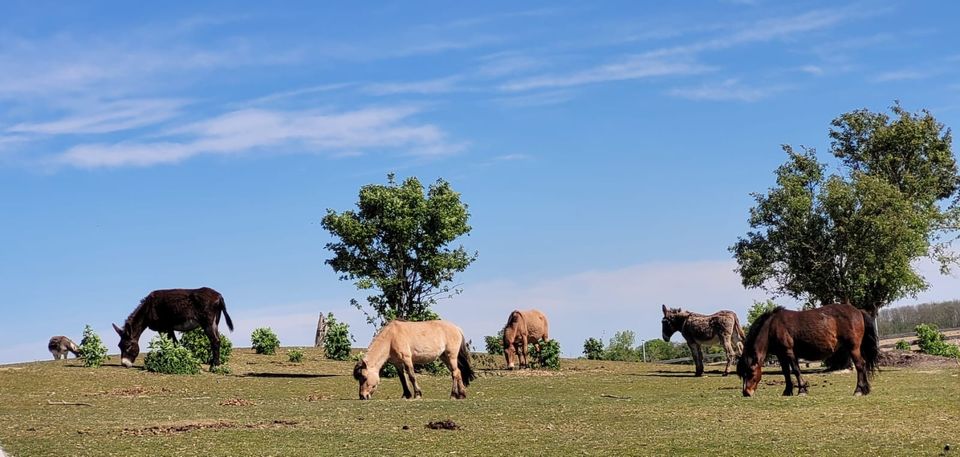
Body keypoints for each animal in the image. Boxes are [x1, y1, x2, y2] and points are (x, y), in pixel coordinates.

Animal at [740, 302, 880, 396]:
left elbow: (796, 370)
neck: (772, 327)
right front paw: (787, 391)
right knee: (863, 364)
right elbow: (786, 372)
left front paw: (802, 390)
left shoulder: (789, 352)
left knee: (860, 365)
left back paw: (858, 390)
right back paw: (865, 389)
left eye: (751, 372)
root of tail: (858, 311)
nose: (746, 392)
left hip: (853, 348)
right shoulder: (781, 355)